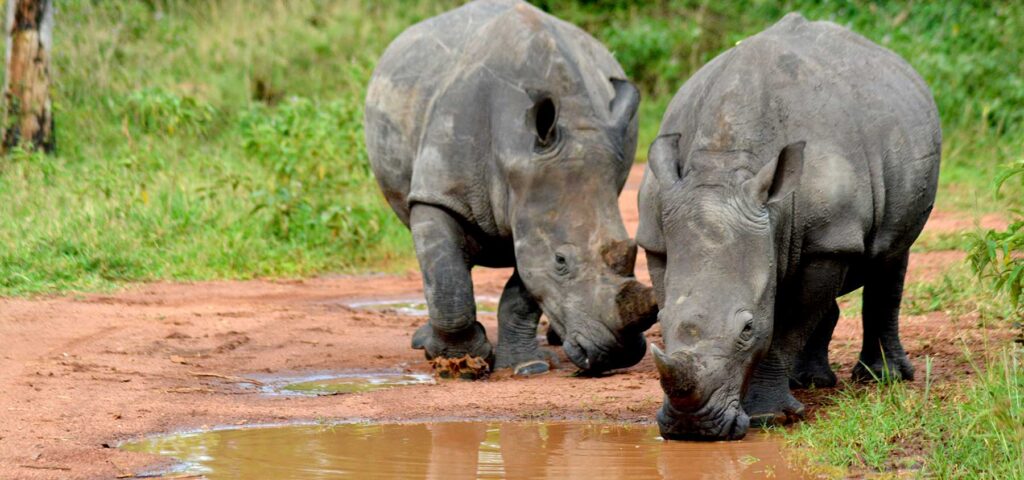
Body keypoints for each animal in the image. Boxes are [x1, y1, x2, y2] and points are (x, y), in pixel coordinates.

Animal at [365, 0, 657, 377]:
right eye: (561, 261)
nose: (620, 354)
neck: (514, 156)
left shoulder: (534, 206)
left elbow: (524, 289)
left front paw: (529, 367)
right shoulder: (439, 195)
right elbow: (447, 279)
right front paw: (460, 363)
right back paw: (424, 343)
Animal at [637, 13, 941, 439]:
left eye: (747, 329)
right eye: (659, 323)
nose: (691, 428)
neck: (724, 165)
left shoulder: (829, 238)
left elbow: (786, 327)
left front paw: (770, 417)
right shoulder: (657, 235)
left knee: (891, 257)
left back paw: (883, 379)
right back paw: (810, 382)